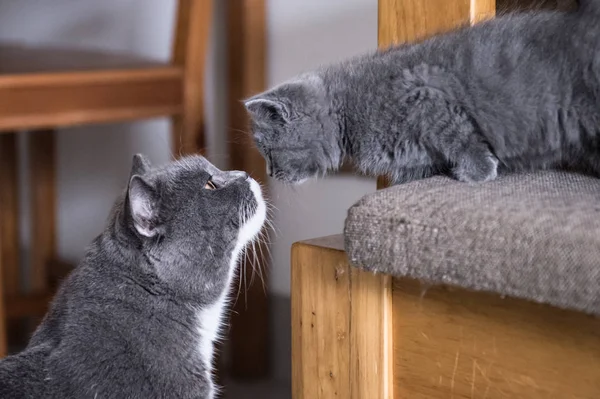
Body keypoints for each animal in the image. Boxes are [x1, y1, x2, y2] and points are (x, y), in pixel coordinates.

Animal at [244, 1, 600, 185]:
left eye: (268, 152)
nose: (270, 174)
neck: (347, 114)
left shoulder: (427, 98)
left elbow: (461, 138)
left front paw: (477, 173)